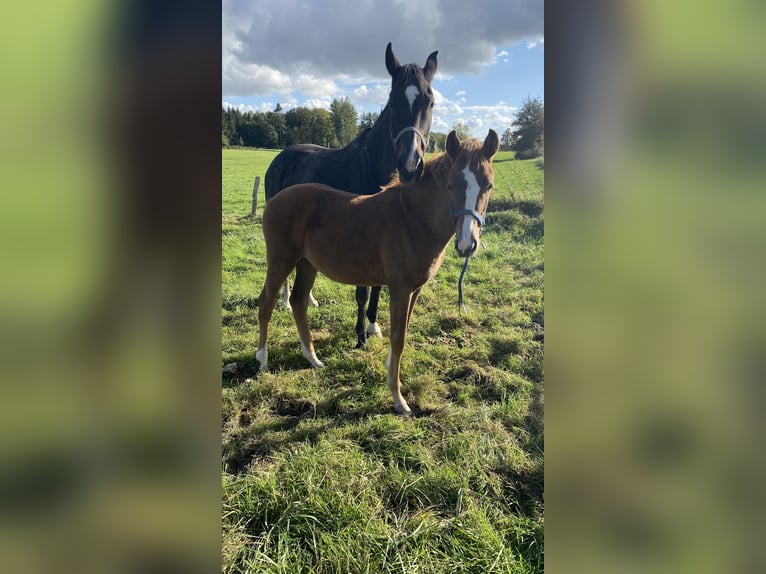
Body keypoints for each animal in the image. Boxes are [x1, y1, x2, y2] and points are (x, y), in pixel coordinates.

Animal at [255, 130, 500, 416]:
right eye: (451, 186)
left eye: (489, 186)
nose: (466, 245)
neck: (411, 219)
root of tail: (276, 199)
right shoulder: (400, 288)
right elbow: (398, 337)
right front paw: (398, 397)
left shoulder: (415, 289)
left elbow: (403, 331)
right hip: (281, 260)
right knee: (266, 304)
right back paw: (262, 359)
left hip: (307, 263)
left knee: (299, 301)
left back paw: (313, 358)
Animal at [264, 42, 438, 348]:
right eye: (393, 102)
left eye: (430, 102)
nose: (410, 165)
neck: (372, 167)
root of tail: (281, 157)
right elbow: (363, 291)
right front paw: (360, 336)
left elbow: (377, 287)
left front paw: (373, 326)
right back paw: (285, 301)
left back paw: (310, 299)